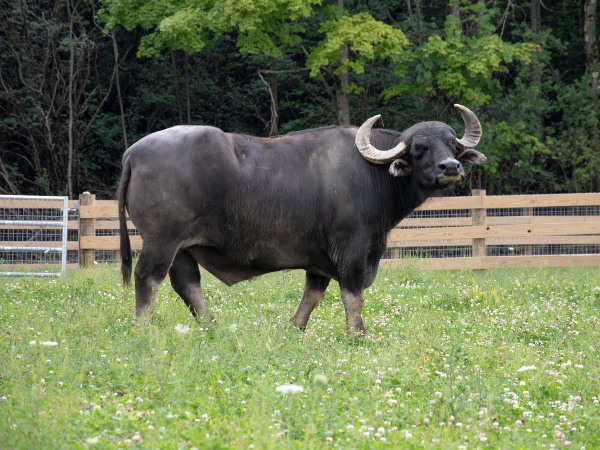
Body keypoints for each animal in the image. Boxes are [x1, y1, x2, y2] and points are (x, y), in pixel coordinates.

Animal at [116, 105, 482, 336]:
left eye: (451, 143)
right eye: (418, 146)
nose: (450, 167)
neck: (372, 173)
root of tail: (133, 152)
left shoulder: (318, 257)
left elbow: (313, 295)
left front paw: (294, 327)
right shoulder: (352, 248)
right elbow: (353, 294)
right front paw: (357, 333)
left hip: (182, 248)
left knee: (187, 285)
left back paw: (211, 326)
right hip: (162, 241)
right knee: (148, 279)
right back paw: (143, 329)